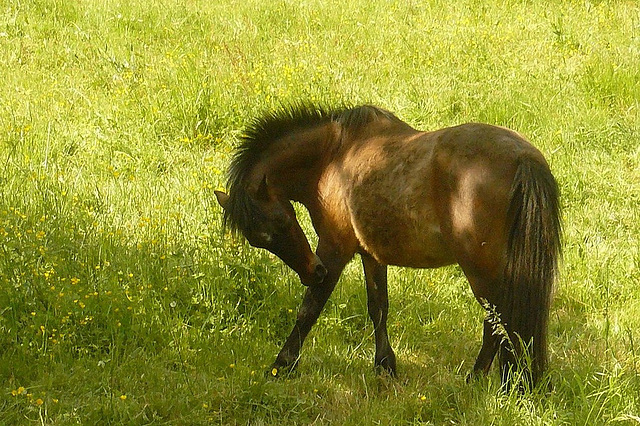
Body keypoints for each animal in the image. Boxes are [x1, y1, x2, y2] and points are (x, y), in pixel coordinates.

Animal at [215, 104, 560, 390]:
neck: (334, 156)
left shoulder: (334, 248)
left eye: (282, 222)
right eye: (257, 240)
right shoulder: (371, 254)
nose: (312, 272)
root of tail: (522, 158)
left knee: (497, 321)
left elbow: (309, 309)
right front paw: (385, 366)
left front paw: (282, 365)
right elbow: (378, 307)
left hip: (480, 270)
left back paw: (479, 380)